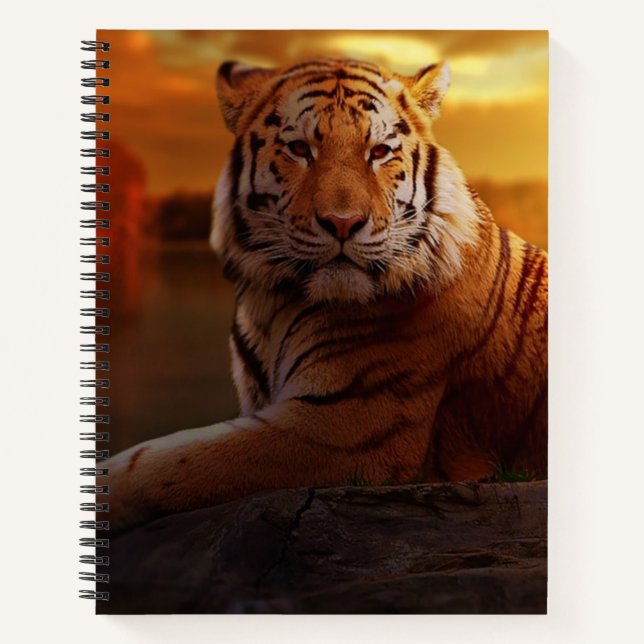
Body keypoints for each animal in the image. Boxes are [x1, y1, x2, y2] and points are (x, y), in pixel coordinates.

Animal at [100, 57, 548, 532]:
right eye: (299, 149)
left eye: (379, 152)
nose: (343, 223)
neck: (272, 303)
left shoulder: (344, 427)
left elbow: (167, 462)